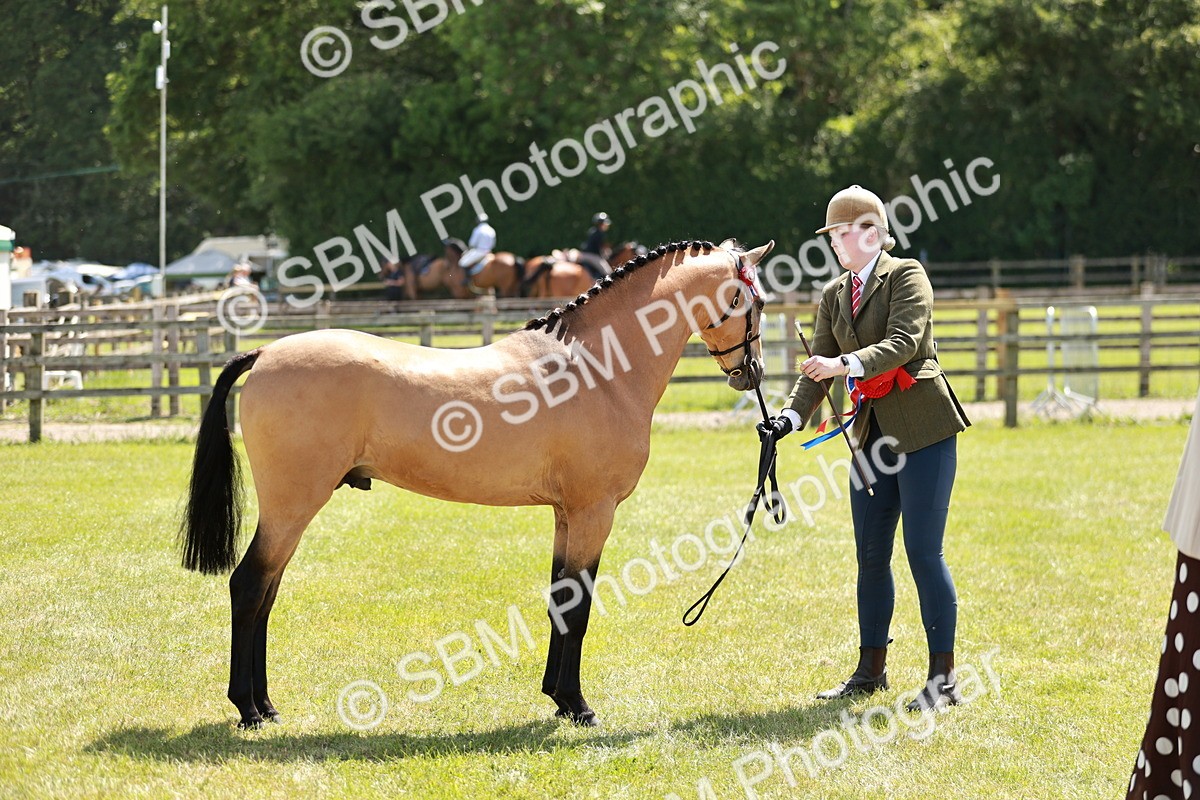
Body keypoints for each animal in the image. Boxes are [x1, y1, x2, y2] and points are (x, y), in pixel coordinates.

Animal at [180, 238, 774, 729]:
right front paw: (579, 706)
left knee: (266, 594)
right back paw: (249, 710)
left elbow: (560, 599)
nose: (751, 374)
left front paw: (557, 698)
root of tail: (265, 353)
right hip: (292, 506)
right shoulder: (594, 512)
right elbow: (579, 608)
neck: (595, 368)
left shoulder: (566, 514)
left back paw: (266, 706)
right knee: (249, 587)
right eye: (757, 303)